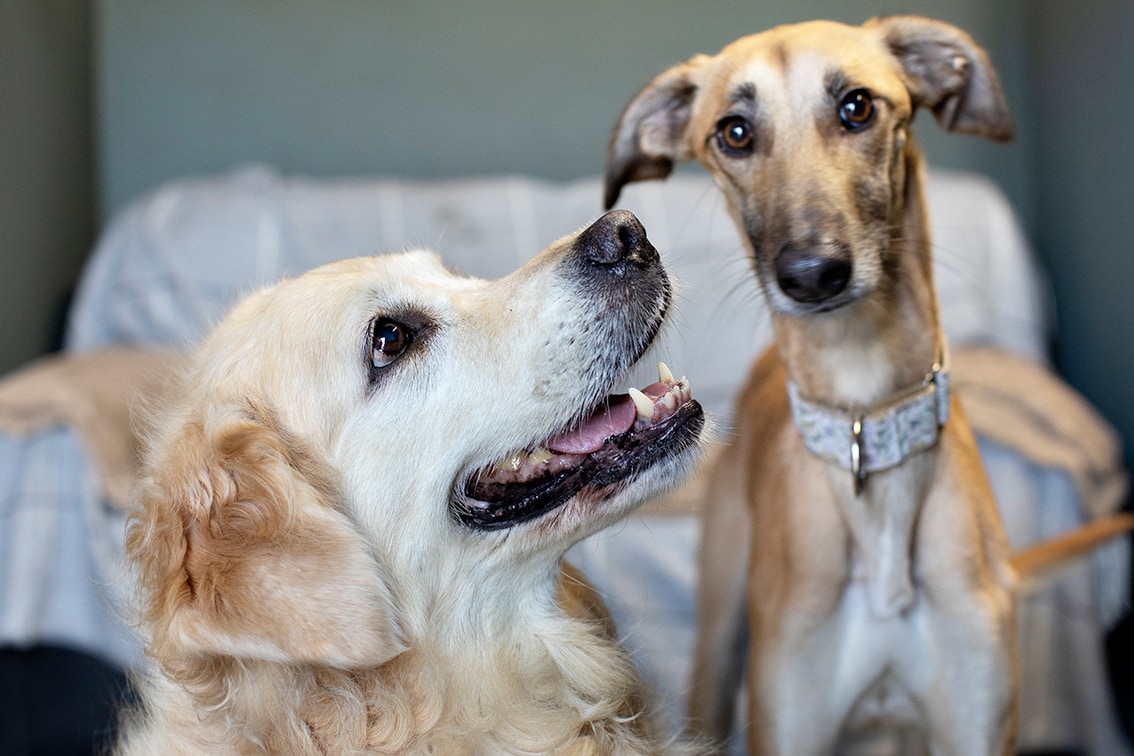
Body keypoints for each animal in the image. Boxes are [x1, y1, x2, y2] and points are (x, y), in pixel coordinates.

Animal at [603, 14, 1124, 752]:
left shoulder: (977, 716)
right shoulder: (790, 716)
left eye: (857, 106)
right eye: (734, 131)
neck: (866, 419)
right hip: (720, 629)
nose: (812, 274)